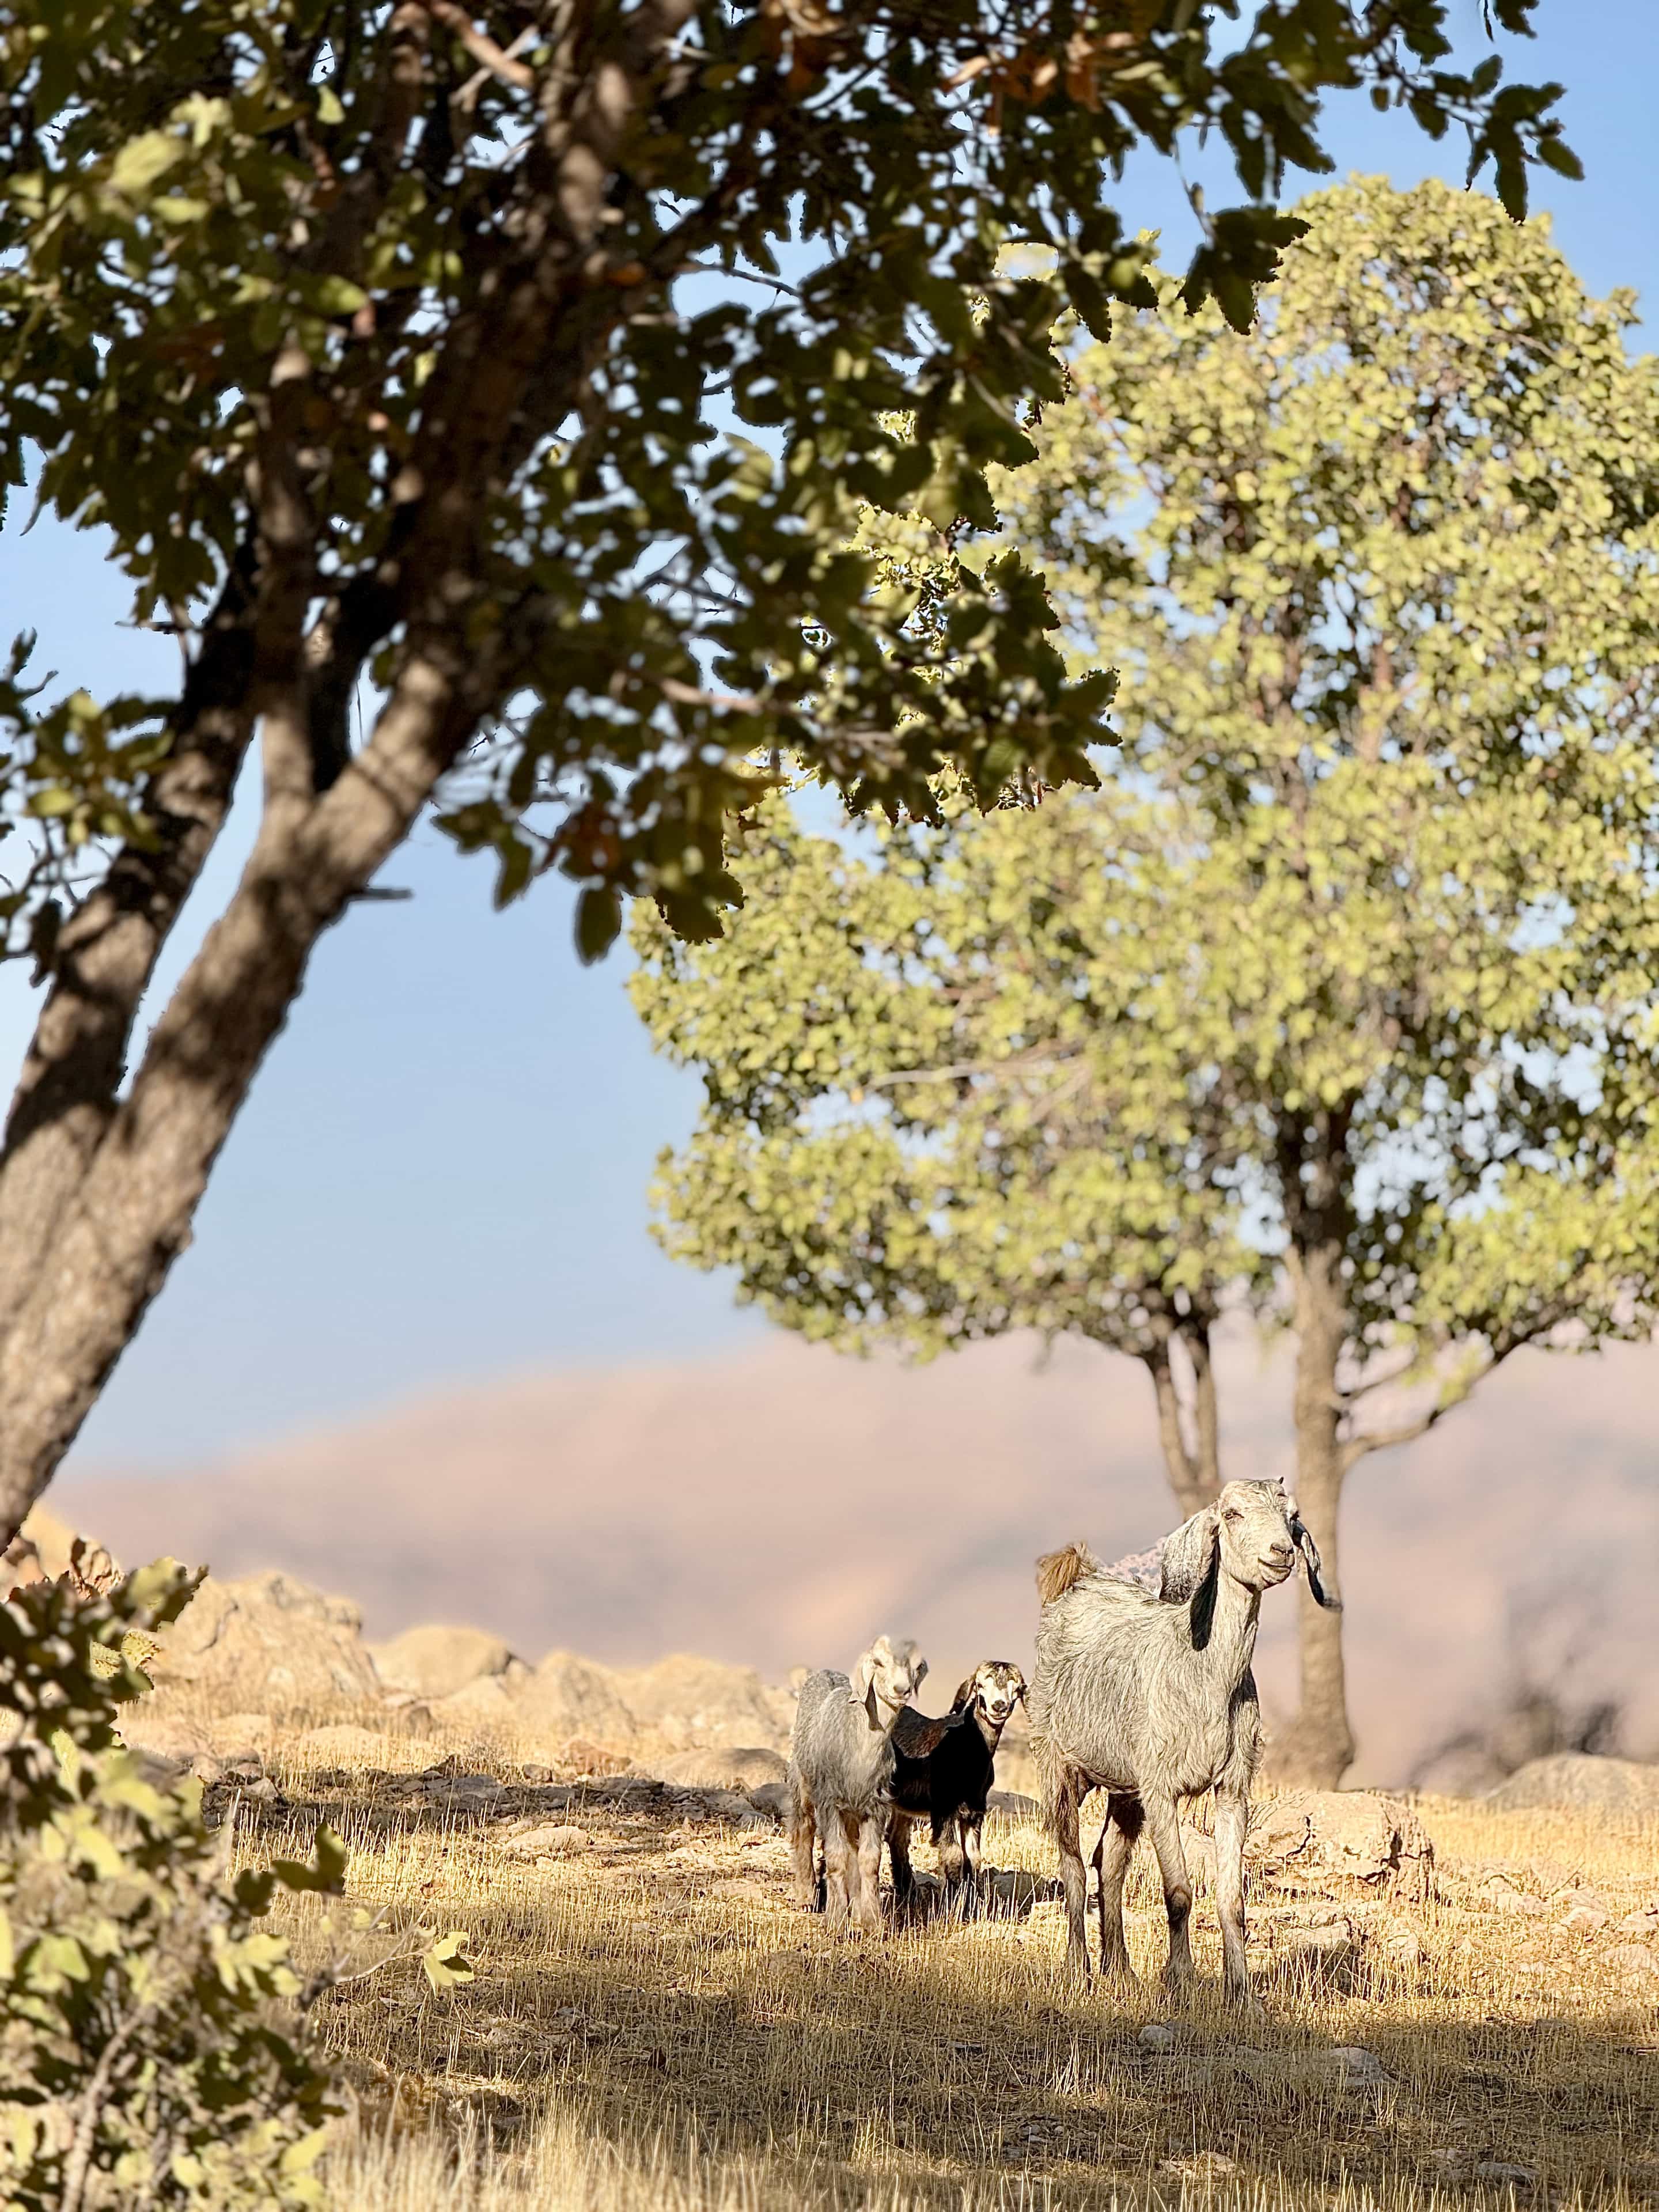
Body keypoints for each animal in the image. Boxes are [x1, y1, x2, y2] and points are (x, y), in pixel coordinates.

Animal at [787, 1635, 928, 1932]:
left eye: (917, 1665)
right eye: (878, 1662)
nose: (901, 1689)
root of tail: (823, 1672)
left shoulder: (876, 1806)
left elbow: (869, 1860)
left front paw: (872, 1921)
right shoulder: (829, 1803)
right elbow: (836, 1857)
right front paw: (834, 1921)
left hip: (853, 1811)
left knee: (852, 1847)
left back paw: (854, 1906)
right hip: (802, 1784)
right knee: (803, 1829)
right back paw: (806, 1896)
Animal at [887, 1659, 1027, 1917]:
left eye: (1016, 1688)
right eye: (980, 1685)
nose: (999, 1706)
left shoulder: (974, 1811)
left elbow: (973, 1858)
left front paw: (972, 1906)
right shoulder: (944, 1809)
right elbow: (954, 1857)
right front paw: (952, 1908)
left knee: (896, 1839)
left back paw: (909, 1894)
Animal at [1027, 1477, 1337, 2006]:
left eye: (1293, 1516)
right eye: (1231, 1514)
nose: (1281, 1553)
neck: (1206, 1677)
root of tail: (1078, 1579)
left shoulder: (1232, 1789)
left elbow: (1232, 1898)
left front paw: (1243, 1995)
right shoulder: (1161, 1788)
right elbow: (1178, 1892)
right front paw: (1181, 1983)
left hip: (1125, 1789)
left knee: (1109, 1861)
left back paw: (1121, 1971)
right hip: (1060, 1767)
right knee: (1072, 1865)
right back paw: (1077, 1971)